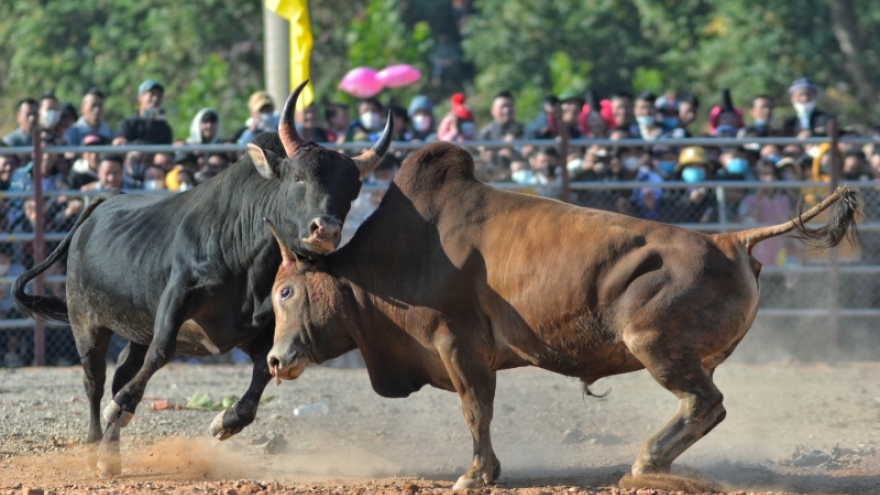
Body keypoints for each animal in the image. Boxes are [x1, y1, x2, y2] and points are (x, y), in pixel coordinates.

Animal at [11, 81, 392, 476]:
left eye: (352, 191)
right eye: (298, 178)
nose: (326, 229)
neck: (249, 258)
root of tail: (104, 200)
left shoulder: (258, 329)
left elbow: (263, 370)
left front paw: (227, 421)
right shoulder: (178, 298)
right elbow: (161, 354)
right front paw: (122, 408)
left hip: (133, 330)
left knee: (121, 372)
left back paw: (110, 449)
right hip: (86, 323)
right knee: (95, 381)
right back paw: (94, 445)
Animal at [264, 142, 856, 488]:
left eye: (286, 291)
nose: (273, 359)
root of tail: (731, 240)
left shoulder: (459, 345)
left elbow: (476, 411)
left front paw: (476, 475)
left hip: (656, 347)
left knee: (704, 403)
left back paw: (646, 464)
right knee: (705, 406)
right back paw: (651, 463)